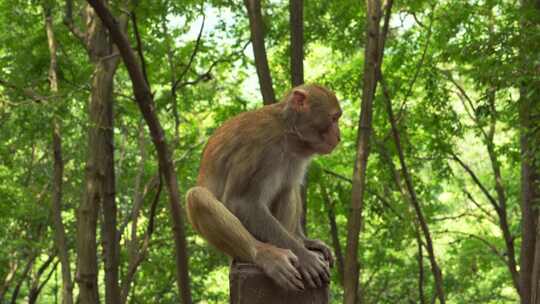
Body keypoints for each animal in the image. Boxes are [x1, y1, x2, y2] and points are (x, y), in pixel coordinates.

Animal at [186, 84, 342, 290]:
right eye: (333, 118)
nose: (339, 137)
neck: (287, 132)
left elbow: (287, 187)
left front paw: (303, 243)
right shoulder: (259, 145)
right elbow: (242, 202)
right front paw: (304, 256)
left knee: (287, 189)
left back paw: (298, 240)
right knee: (196, 196)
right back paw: (263, 254)